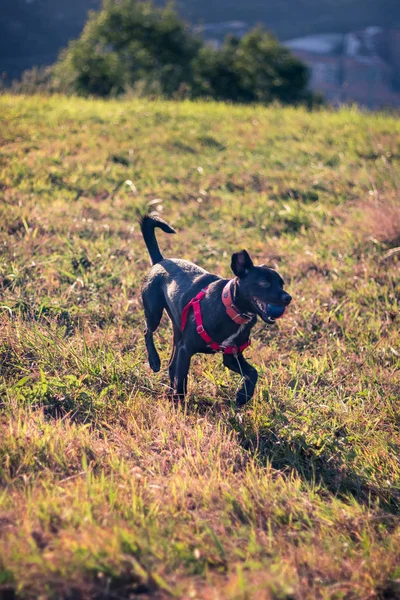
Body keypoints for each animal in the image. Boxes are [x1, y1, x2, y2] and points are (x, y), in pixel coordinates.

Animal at [141, 216, 290, 408]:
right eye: (264, 283)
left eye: (281, 284)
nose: (288, 298)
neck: (232, 310)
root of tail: (160, 261)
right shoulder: (186, 349)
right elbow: (181, 382)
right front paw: (178, 406)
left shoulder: (231, 355)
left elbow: (253, 372)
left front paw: (243, 396)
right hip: (153, 311)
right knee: (148, 331)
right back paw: (154, 360)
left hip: (177, 327)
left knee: (172, 364)